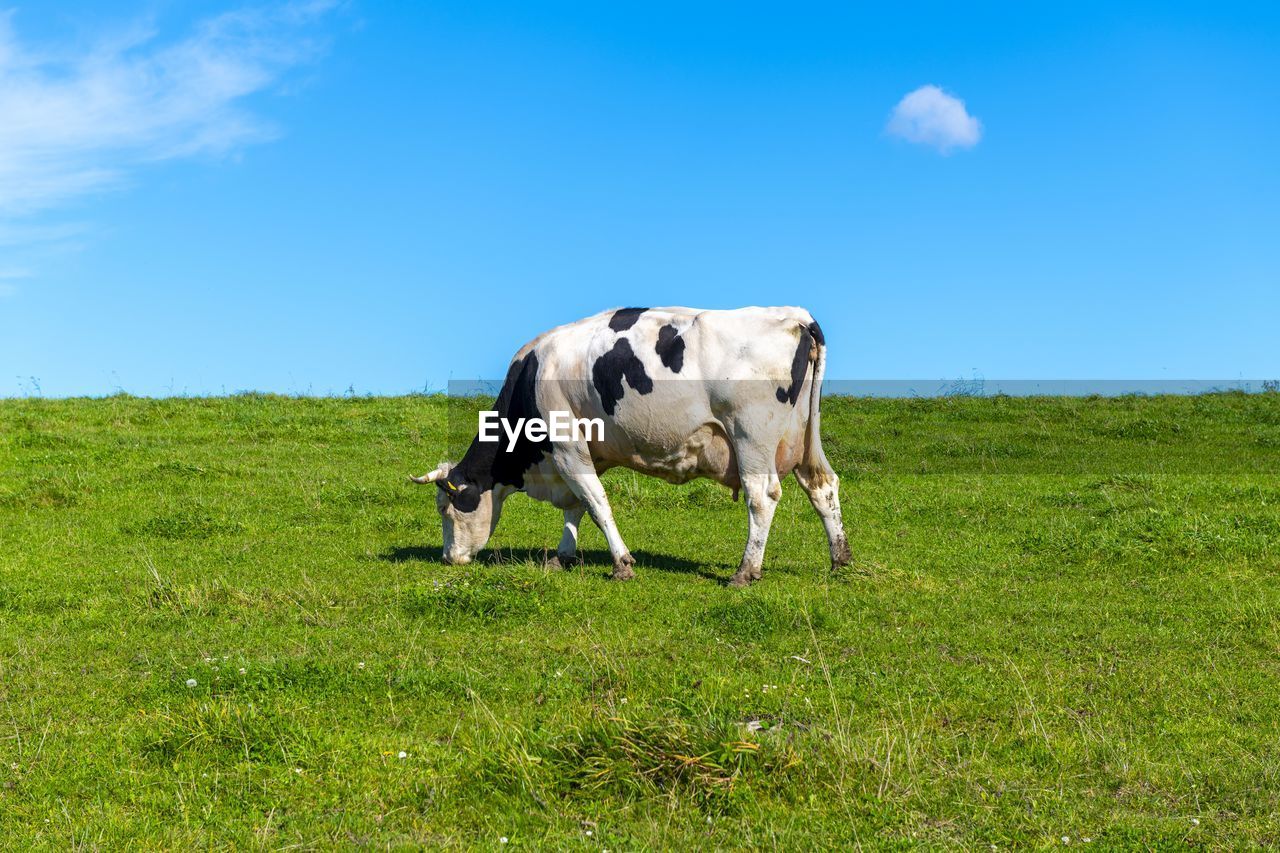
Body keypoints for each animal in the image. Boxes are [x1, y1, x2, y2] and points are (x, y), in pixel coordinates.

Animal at [409, 306, 849, 584]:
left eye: (446, 508)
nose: (449, 559)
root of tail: (795, 316)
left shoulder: (565, 444)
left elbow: (597, 504)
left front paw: (621, 564)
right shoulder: (584, 451)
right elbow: (577, 505)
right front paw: (562, 556)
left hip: (750, 436)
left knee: (762, 497)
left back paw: (745, 571)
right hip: (804, 435)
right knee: (822, 485)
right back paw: (840, 559)